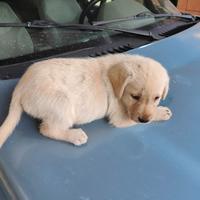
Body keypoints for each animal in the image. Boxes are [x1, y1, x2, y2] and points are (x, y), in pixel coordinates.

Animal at [0, 54, 172, 148]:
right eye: (135, 96)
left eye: (156, 98)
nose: (144, 120)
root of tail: (20, 87)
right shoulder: (121, 118)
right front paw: (162, 112)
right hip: (62, 103)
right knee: (47, 129)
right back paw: (75, 135)